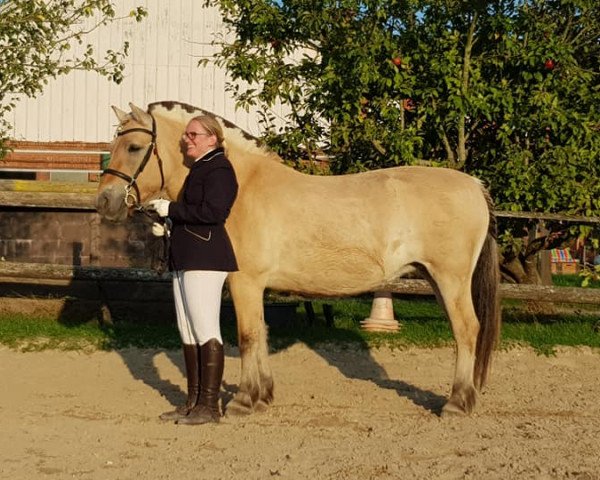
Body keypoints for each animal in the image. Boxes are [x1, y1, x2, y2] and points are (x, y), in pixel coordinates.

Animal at [97, 100, 502, 416]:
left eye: (134, 146)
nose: (104, 201)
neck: (241, 186)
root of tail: (474, 185)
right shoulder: (254, 286)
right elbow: (260, 334)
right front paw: (262, 396)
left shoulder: (244, 282)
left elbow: (247, 336)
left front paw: (244, 401)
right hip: (435, 278)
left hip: (450, 279)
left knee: (467, 330)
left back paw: (456, 403)